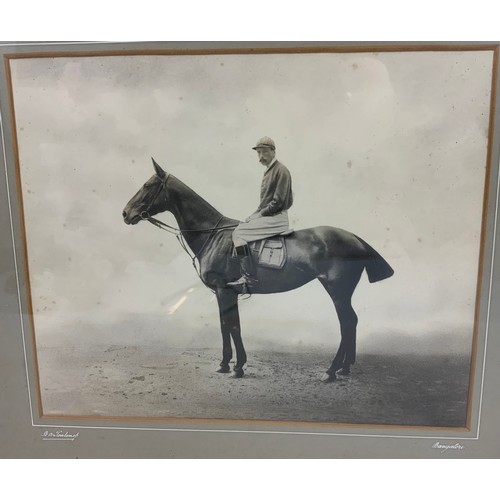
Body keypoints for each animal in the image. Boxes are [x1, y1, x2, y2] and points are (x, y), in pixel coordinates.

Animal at [122, 158, 394, 380]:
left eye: (148, 185)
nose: (126, 213)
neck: (213, 234)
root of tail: (354, 237)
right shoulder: (223, 293)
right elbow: (225, 325)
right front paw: (225, 364)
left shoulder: (225, 290)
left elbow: (233, 326)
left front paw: (238, 366)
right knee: (352, 322)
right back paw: (345, 368)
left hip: (337, 289)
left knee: (346, 322)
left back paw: (331, 370)